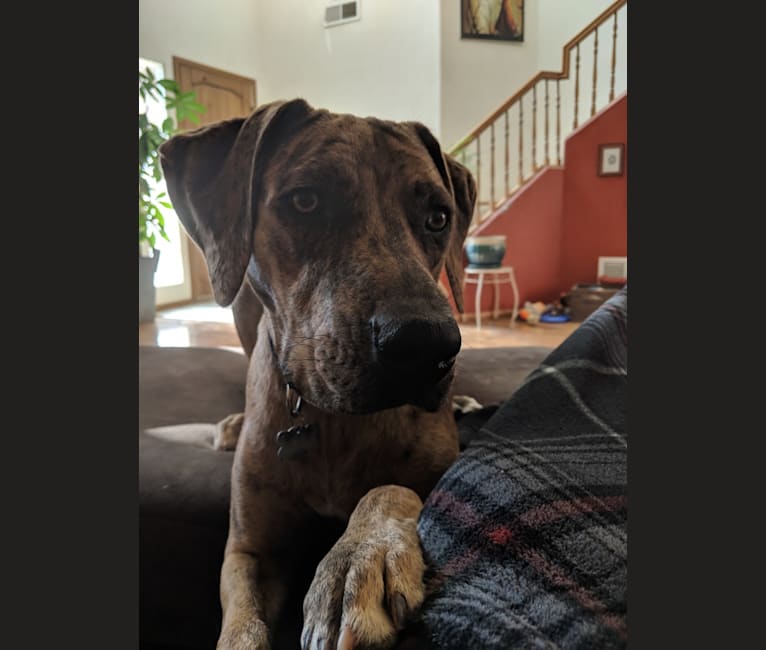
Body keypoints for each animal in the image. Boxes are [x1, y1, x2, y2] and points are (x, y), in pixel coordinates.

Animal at [160, 98, 476, 648]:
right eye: (305, 201)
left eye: (439, 217)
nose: (429, 346)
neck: (332, 419)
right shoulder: (248, 549)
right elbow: (241, 628)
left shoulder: (441, 467)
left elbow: (391, 488)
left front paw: (359, 558)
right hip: (241, 309)